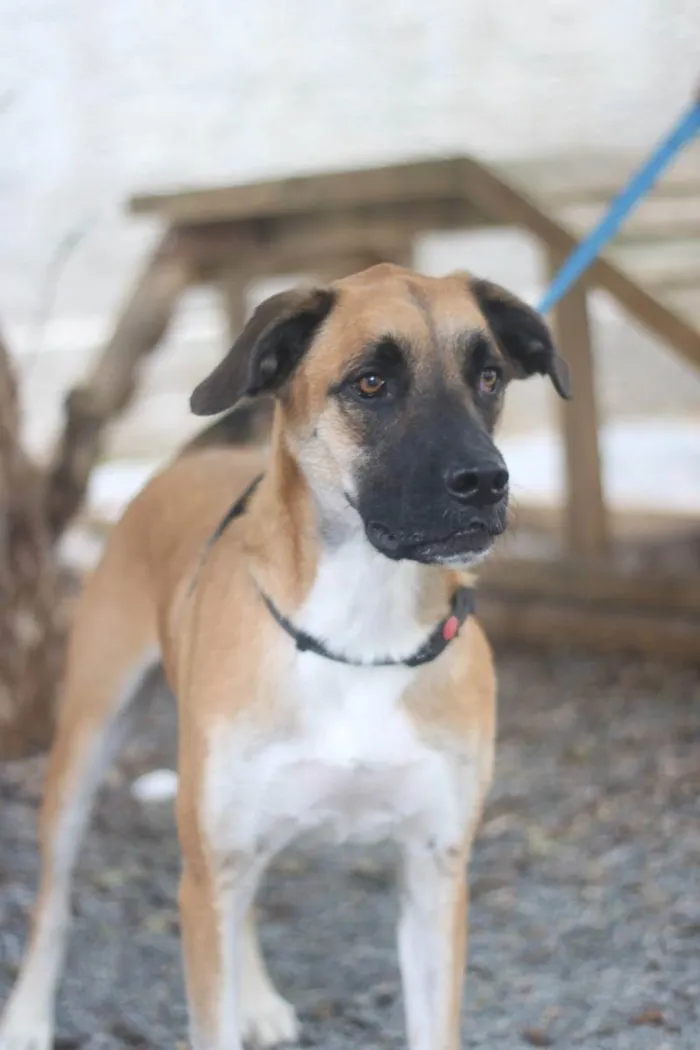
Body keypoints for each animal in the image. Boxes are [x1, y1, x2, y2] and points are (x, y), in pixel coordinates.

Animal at [0, 264, 570, 1050]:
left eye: (488, 376)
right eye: (370, 383)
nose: (487, 482)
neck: (362, 634)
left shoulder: (435, 873)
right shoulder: (209, 868)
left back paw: (260, 1000)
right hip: (88, 751)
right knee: (53, 902)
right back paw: (28, 1016)